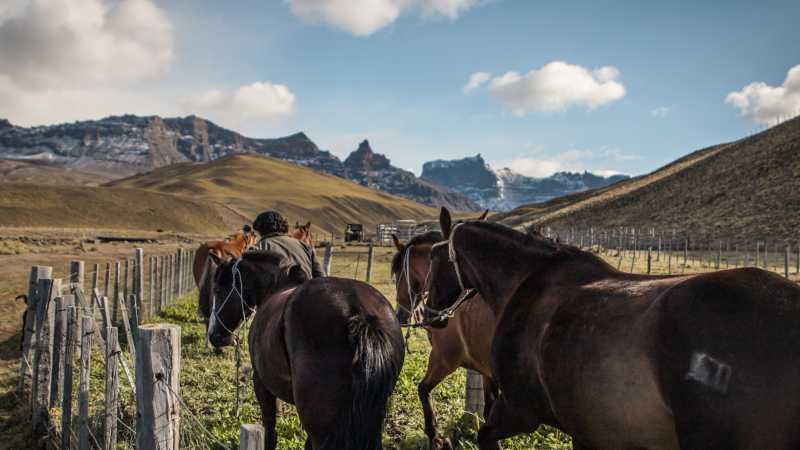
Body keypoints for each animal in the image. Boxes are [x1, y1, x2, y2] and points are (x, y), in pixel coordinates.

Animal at [208, 251, 405, 450]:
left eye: (216, 290)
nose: (214, 335)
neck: (277, 286)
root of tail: (359, 313)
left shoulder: (261, 382)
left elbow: (270, 431)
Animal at [390, 224, 496, 450]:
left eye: (397, 273)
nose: (399, 315)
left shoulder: (444, 359)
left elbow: (423, 389)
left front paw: (436, 437)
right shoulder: (487, 372)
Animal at [425, 207, 800, 450]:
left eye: (432, 258)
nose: (430, 314)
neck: (527, 281)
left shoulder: (520, 409)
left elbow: (485, 436)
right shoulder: (587, 428)